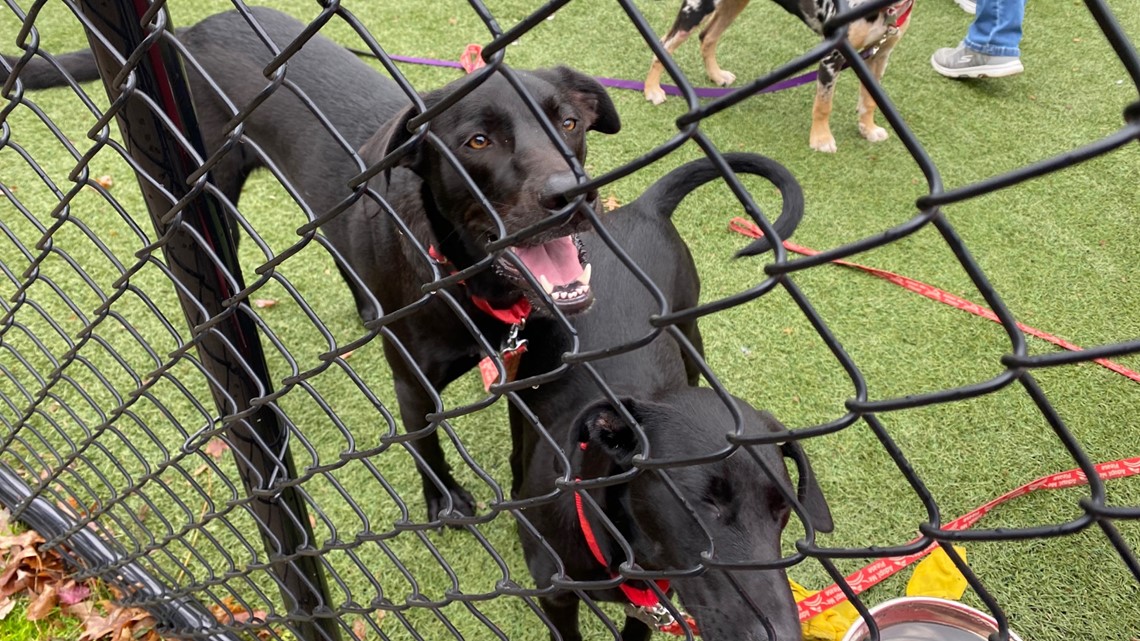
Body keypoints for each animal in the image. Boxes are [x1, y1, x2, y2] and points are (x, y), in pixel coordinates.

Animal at [2, 7, 633, 522]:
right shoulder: (413, 385)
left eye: (569, 123)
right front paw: (445, 502)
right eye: (478, 141)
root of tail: (189, 30)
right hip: (209, 192)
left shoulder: (530, 372)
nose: (573, 194)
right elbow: (426, 445)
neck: (470, 282)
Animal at [513, 151, 834, 634]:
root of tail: (641, 208)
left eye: (783, 508)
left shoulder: (652, 601)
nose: (780, 635)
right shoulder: (555, 595)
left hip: (688, 330)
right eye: (700, 504)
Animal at [647, 0, 912, 151]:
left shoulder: (880, 55)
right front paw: (821, 139)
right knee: (664, 44)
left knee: (708, 36)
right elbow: (823, 105)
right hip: (697, 8)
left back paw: (716, 74)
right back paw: (651, 89)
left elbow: (869, 101)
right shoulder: (832, 55)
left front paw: (868, 129)